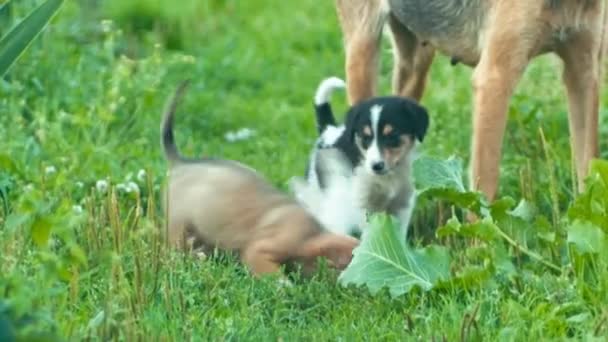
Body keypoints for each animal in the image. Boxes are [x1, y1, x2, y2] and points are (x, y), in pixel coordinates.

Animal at [294, 77, 430, 238]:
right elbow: (370, 233)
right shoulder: (362, 204)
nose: (376, 166)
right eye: (366, 138)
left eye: (392, 136)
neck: (386, 178)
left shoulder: (403, 203)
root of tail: (328, 131)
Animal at [334, 0, 604, 202]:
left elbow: (589, 170)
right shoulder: (495, 79)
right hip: (363, 46)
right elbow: (485, 185)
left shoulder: (584, 74)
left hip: (416, 63)